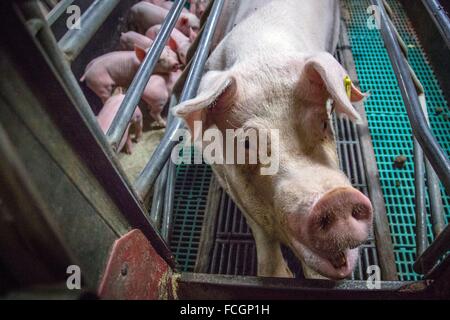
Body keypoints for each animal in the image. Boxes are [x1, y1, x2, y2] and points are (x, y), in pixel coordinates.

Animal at [172, 0, 372, 278]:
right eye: (247, 143)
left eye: (323, 122)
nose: (336, 199)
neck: (263, 52)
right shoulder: (225, 177)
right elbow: (259, 228)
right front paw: (277, 275)